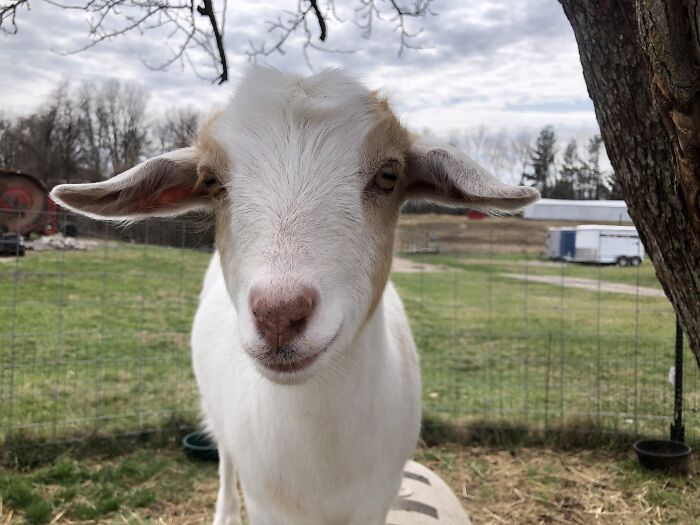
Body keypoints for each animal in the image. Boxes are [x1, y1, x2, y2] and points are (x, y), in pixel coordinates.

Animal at [51, 67, 539, 525]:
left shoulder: (379, 497)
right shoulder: (265, 502)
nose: (279, 316)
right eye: (210, 181)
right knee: (224, 458)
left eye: (388, 175)